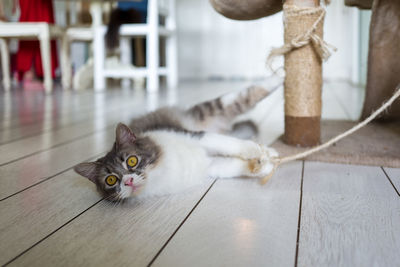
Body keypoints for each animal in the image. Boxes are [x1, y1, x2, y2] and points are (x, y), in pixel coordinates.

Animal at [74, 87, 278, 202]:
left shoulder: (196, 136)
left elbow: (230, 144)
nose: (128, 180)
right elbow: (234, 166)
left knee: (246, 94)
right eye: (111, 180)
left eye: (132, 161)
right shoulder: (210, 165)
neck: (160, 173)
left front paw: (254, 151)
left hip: (207, 112)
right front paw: (263, 166)